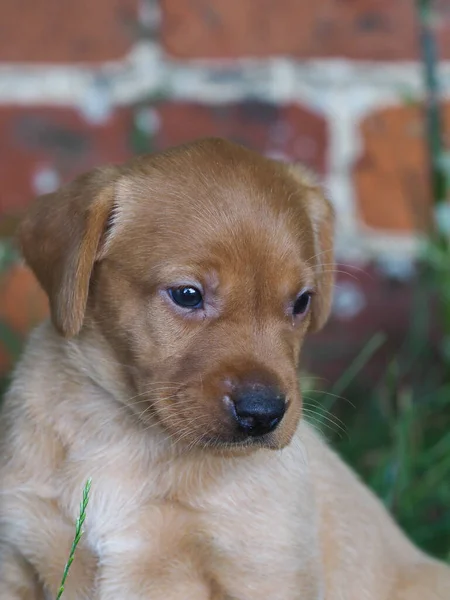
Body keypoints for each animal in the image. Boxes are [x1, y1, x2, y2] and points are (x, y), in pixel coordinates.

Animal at [0, 137, 448, 600]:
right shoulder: (19, 551)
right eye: (187, 294)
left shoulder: (264, 569)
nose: (263, 414)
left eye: (302, 301)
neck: (127, 434)